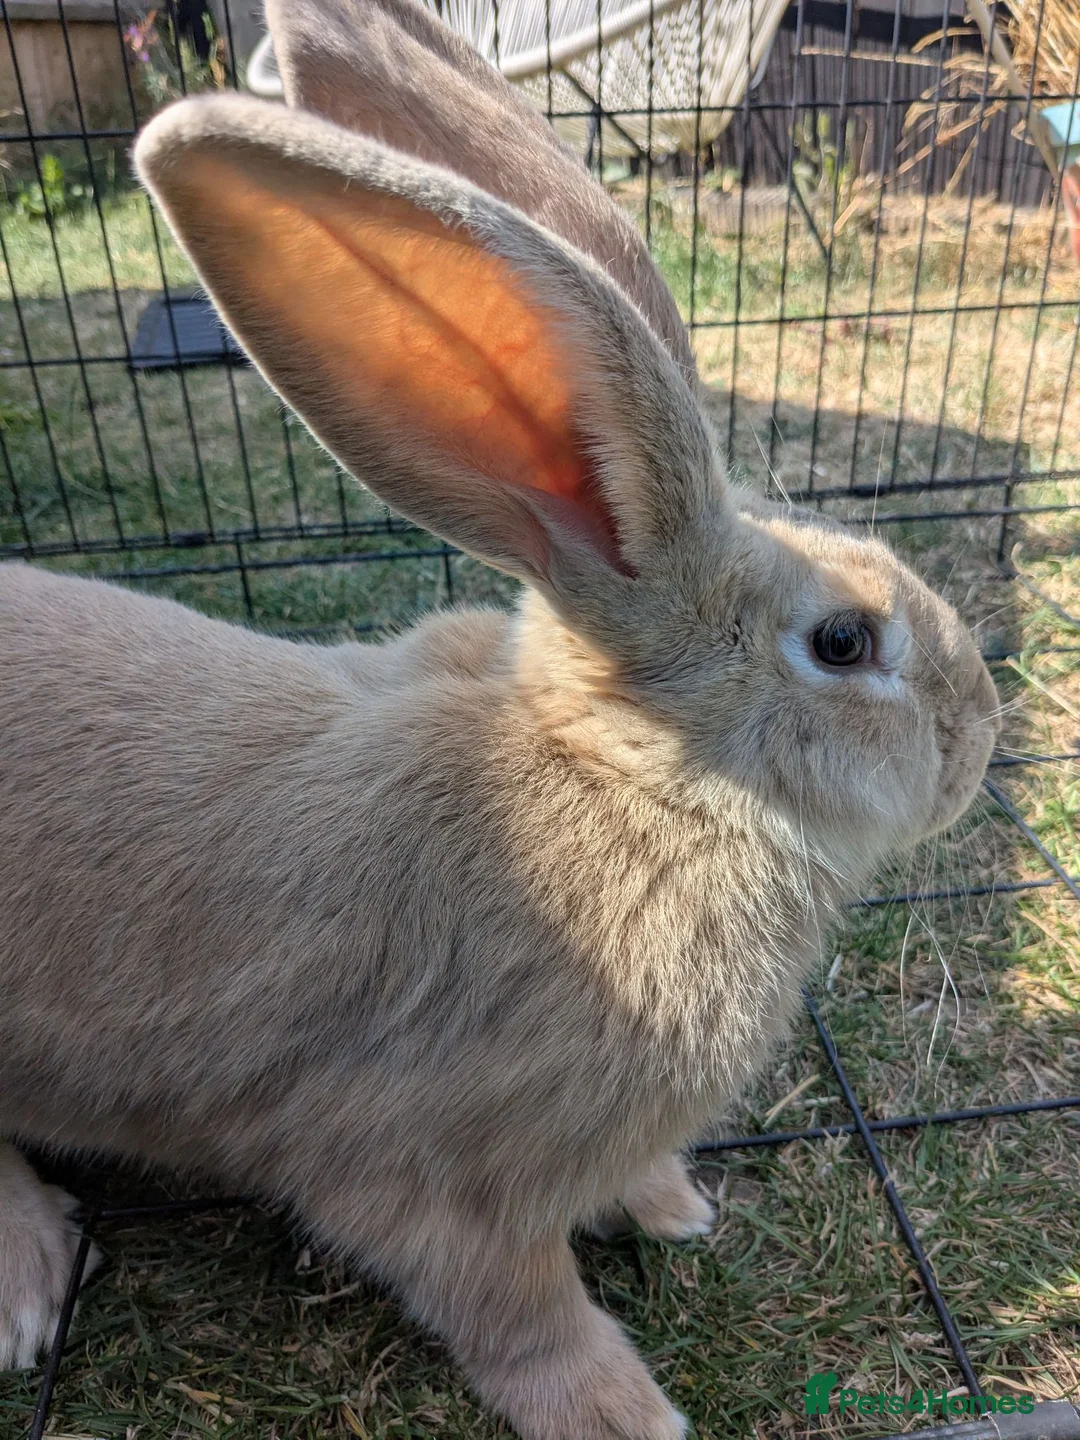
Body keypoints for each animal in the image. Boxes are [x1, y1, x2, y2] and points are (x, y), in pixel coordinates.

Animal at [0, 1, 1000, 1435]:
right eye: (844, 642)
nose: (983, 733)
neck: (648, 787)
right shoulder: (430, 1181)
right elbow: (519, 1314)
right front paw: (626, 1412)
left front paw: (673, 1208)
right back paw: (28, 1275)